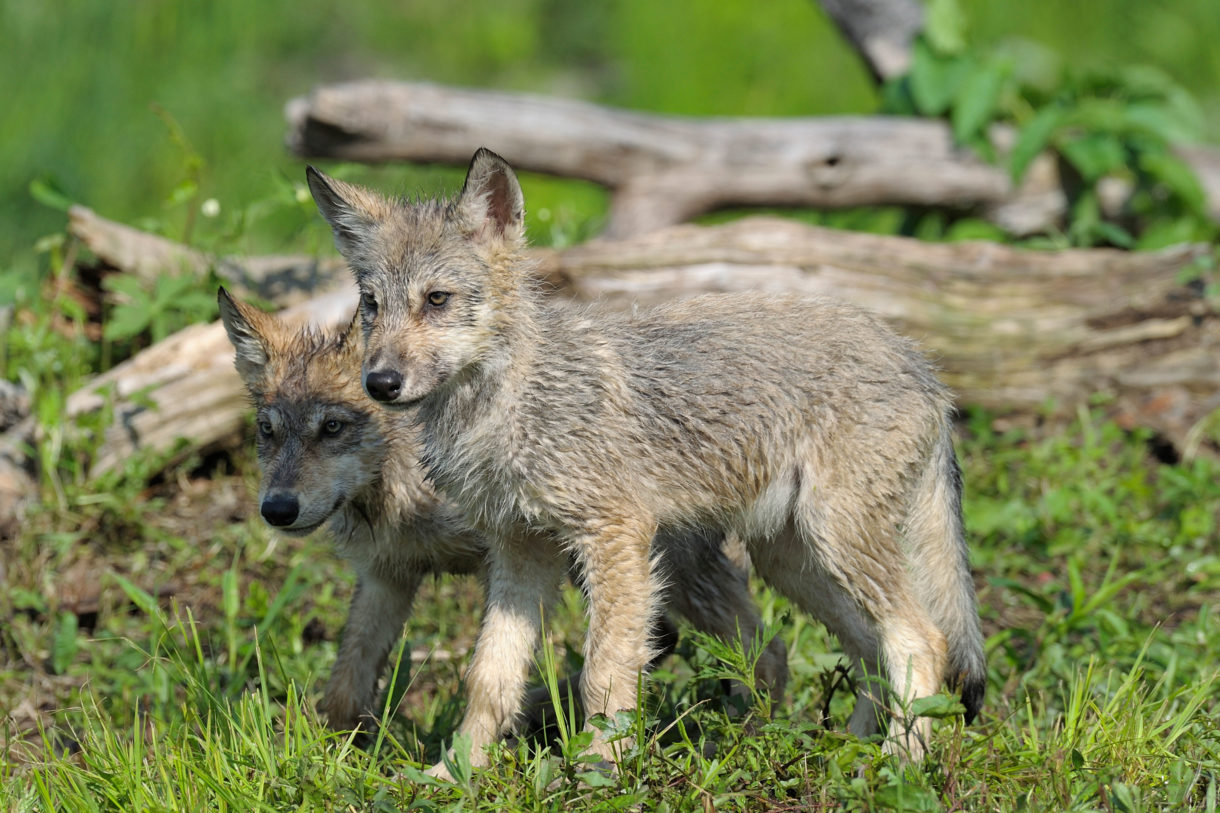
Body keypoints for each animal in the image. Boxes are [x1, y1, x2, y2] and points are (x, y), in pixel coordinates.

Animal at [217, 288, 787, 740]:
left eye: (332, 427)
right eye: (268, 431)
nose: (277, 509)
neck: (398, 487)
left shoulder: (513, 556)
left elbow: (497, 667)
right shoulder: (387, 575)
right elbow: (346, 684)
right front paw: (328, 755)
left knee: (719, 645)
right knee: (762, 648)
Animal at [305, 149, 985, 772]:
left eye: (437, 299)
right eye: (371, 305)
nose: (380, 383)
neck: (505, 407)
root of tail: (921, 365)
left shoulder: (615, 538)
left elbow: (605, 677)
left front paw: (598, 773)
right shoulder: (521, 552)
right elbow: (489, 679)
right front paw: (455, 775)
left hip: (834, 542)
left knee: (923, 642)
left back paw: (899, 766)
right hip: (795, 561)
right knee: (871, 652)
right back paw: (849, 755)